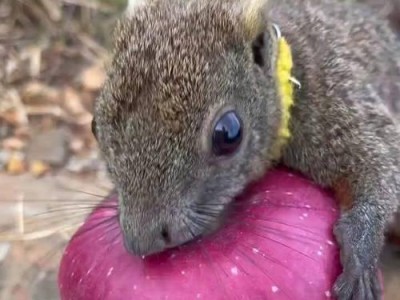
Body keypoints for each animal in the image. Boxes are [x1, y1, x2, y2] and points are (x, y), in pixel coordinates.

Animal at [90, 0, 400, 298]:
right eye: (94, 125)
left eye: (228, 134)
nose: (141, 240)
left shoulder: (332, 100)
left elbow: (379, 161)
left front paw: (360, 252)